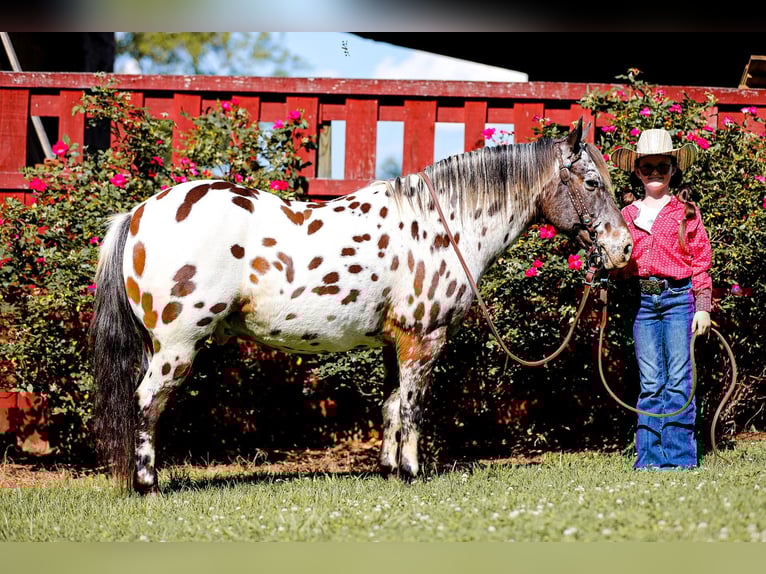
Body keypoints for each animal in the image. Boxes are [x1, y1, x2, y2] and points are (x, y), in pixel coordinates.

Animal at [89, 118, 633, 494]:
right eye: (592, 184)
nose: (624, 248)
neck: (442, 225)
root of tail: (137, 213)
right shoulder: (423, 337)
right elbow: (413, 405)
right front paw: (412, 472)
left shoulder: (396, 341)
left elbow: (391, 405)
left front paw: (391, 470)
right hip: (176, 345)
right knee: (146, 402)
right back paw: (147, 485)